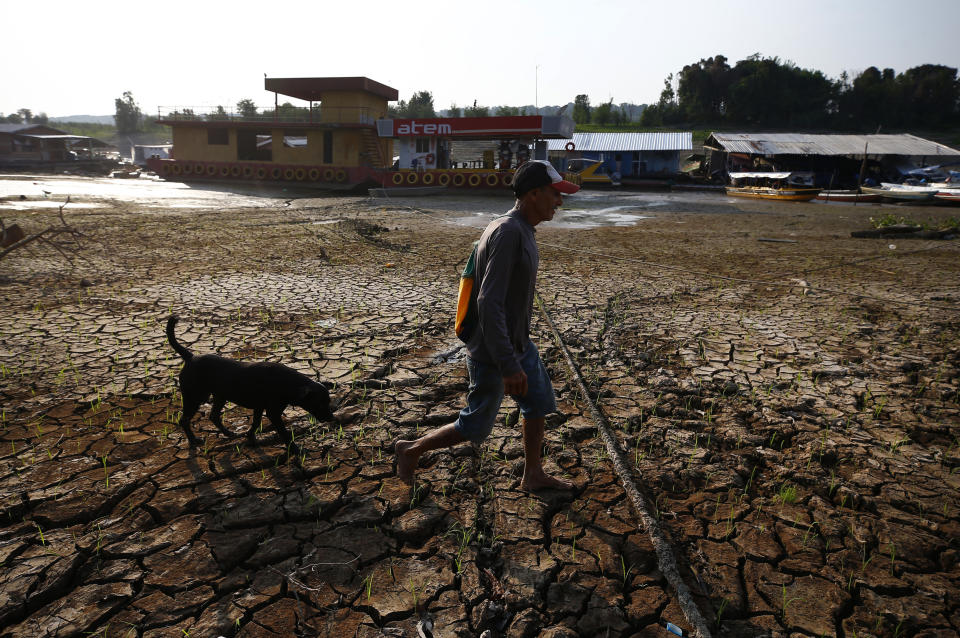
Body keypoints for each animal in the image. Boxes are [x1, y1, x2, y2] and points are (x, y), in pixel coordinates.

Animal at [163, 318, 332, 448]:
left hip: (219, 396)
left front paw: (250, 437)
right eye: (319, 404)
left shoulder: (259, 407)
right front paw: (296, 451)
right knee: (184, 420)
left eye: (328, 402)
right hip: (194, 397)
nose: (331, 419)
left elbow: (256, 423)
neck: (288, 382)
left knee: (214, 416)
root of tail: (190, 357)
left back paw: (228, 433)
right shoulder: (273, 413)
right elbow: (284, 433)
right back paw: (193, 440)